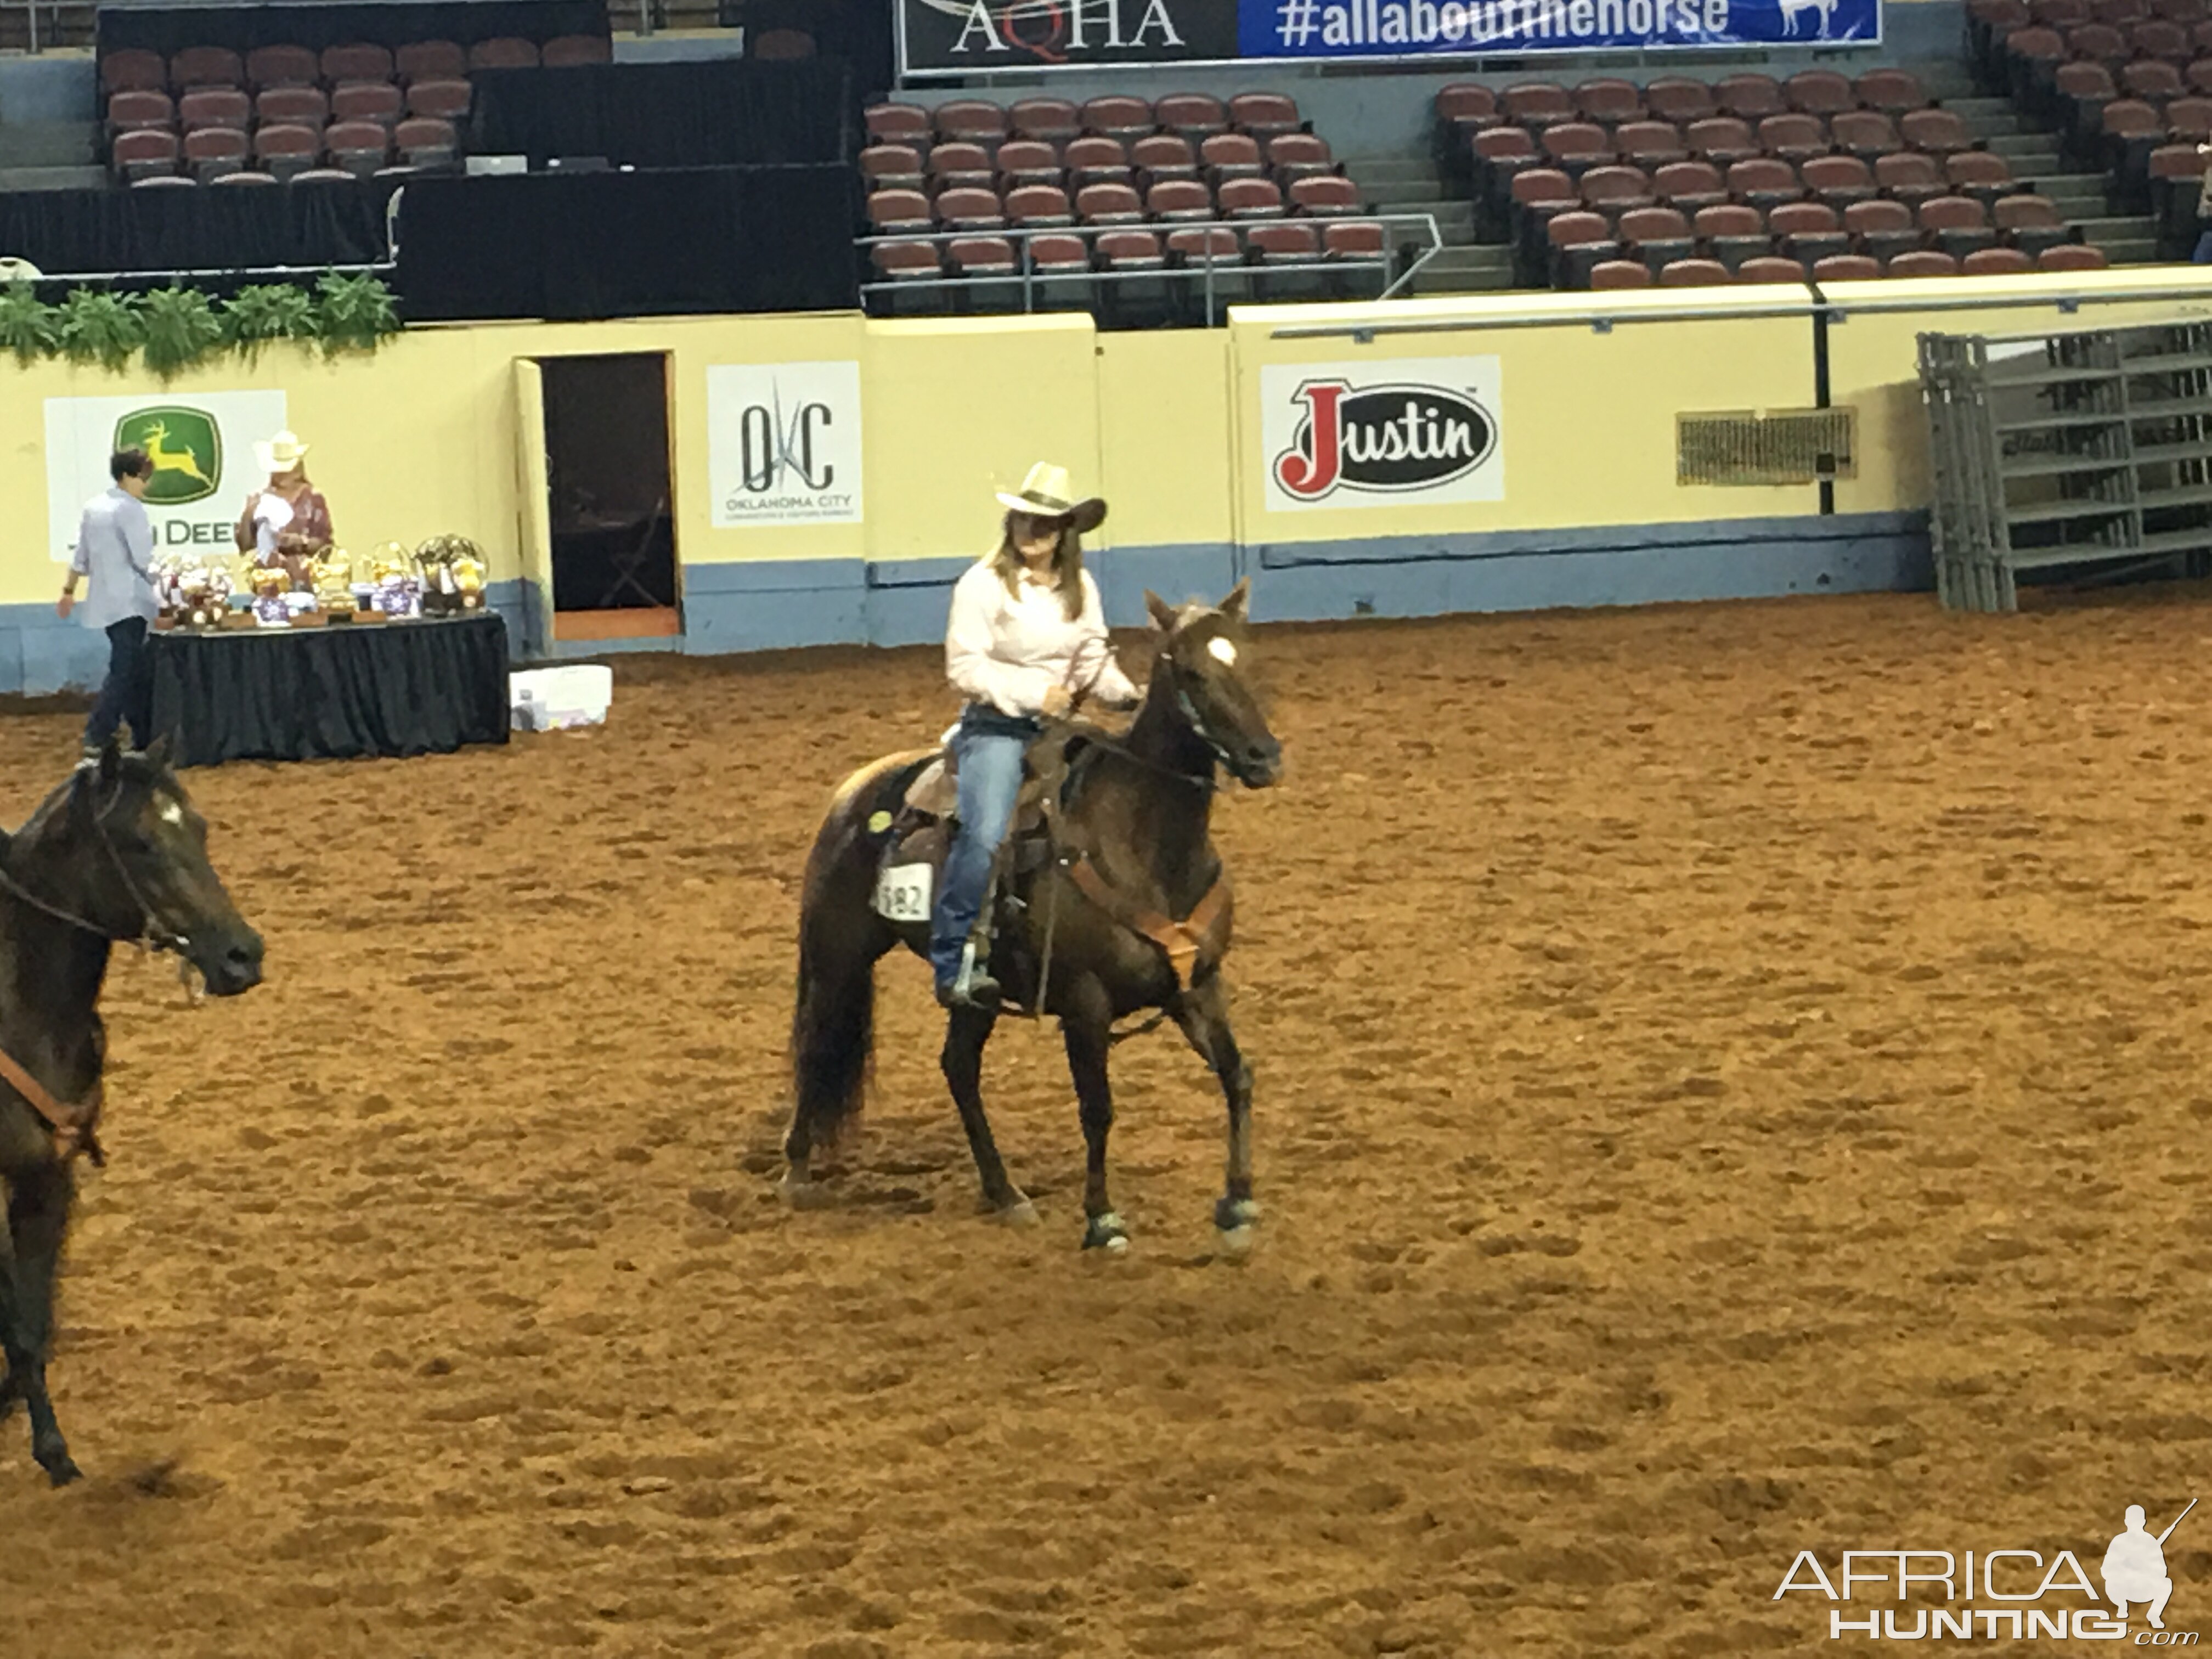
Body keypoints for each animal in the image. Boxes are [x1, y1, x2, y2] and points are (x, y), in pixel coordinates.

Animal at [0, 734, 263, 1486]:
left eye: (200, 828)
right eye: (138, 842)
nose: (243, 956)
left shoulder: (48, 1177)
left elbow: (34, 1320)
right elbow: (13, 1319)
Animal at [787, 584, 1291, 1248]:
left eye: (1247, 662)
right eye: (1189, 671)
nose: (1264, 758)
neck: (1146, 845)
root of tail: (853, 792)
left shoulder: (1199, 985)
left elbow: (1237, 1075)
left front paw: (1237, 1204)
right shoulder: (1085, 1002)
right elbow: (1098, 1108)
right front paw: (1102, 1218)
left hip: (974, 990)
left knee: (958, 1067)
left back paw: (1004, 1192)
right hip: (838, 956)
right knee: (817, 1048)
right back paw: (796, 1172)